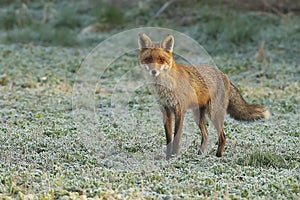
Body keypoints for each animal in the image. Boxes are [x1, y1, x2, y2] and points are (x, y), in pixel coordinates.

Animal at [138, 34, 270, 159]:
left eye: (161, 59)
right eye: (148, 59)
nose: (154, 72)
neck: (165, 87)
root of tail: (224, 74)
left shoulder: (179, 110)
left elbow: (176, 138)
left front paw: (174, 157)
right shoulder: (166, 110)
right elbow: (168, 139)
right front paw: (167, 158)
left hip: (214, 114)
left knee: (223, 136)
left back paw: (218, 156)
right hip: (198, 116)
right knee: (206, 135)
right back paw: (200, 155)